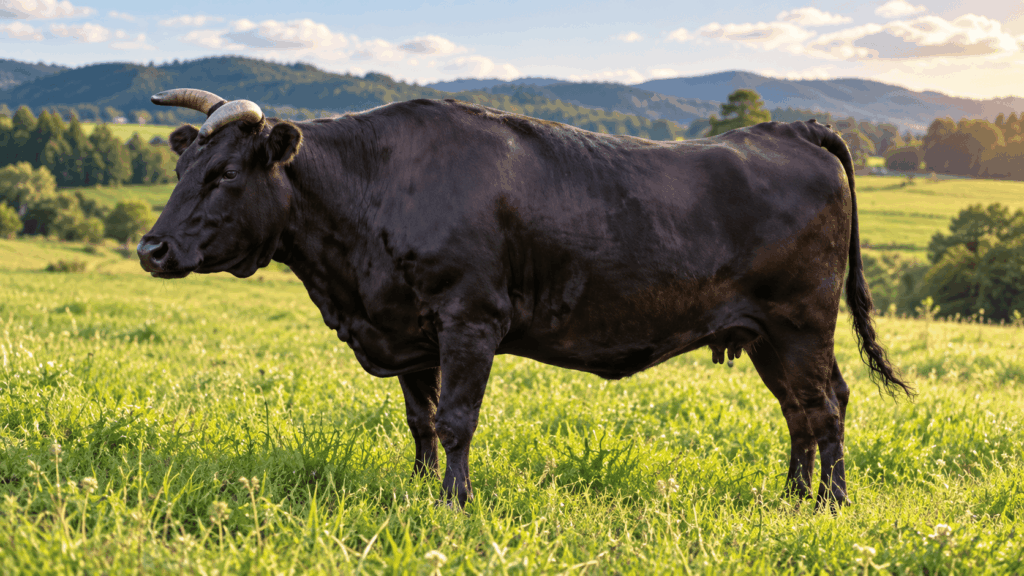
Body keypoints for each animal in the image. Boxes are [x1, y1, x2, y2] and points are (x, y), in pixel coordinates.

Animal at [138, 88, 910, 509]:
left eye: (227, 173)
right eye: (181, 168)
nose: (151, 249)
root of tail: (795, 127)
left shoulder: (470, 318)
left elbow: (455, 421)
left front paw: (454, 505)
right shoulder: (410, 332)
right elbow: (420, 422)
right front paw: (419, 490)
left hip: (800, 321)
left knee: (825, 406)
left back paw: (829, 506)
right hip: (763, 334)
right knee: (801, 412)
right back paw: (792, 498)